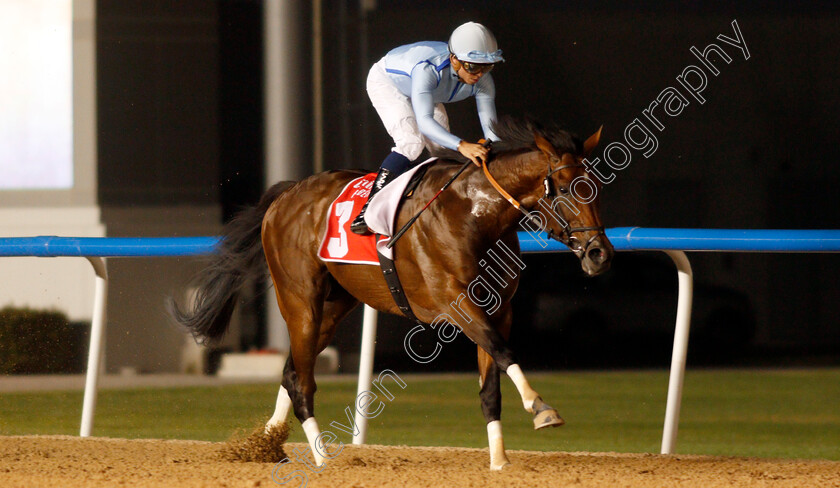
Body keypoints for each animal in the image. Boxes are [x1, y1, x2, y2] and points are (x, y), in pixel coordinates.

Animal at [171, 116, 612, 470]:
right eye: (566, 188)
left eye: (595, 187)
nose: (600, 254)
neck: (474, 212)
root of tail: (287, 193)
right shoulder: (457, 304)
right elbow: (505, 354)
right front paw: (542, 409)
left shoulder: (498, 310)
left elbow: (491, 384)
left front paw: (500, 461)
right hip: (300, 300)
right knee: (301, 380)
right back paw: (322, 459)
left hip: (335, 305)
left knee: (292, 370)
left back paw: (262, 445)